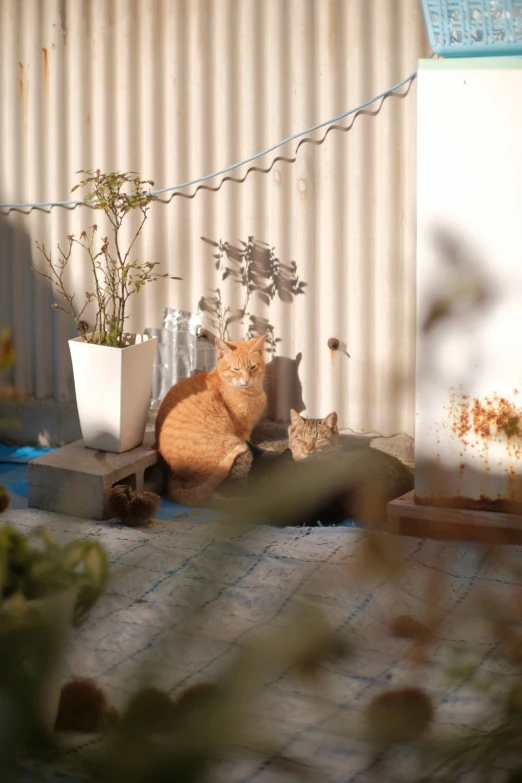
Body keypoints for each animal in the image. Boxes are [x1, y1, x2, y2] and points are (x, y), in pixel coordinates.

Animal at [153, 334, 268, 506]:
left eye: (252, 367)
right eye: (236, 369)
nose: (246, 380)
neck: (251, 392)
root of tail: (170, 474)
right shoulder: (242, 431)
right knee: (212, 495)